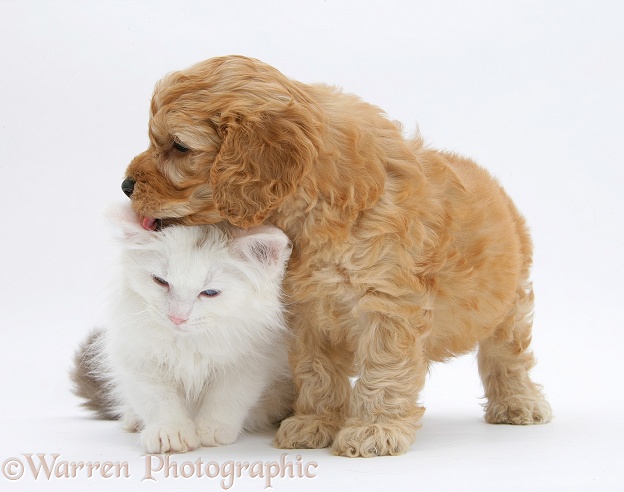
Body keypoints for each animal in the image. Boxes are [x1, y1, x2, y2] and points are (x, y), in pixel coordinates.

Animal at [73, 204, 294, 454]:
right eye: (161, 281)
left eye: (209, 293)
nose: (177, 317)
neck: (188, 344)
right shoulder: (140, 359)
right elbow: (159, 401)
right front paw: (170, 434)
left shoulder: (249, 362)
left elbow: (226, 399)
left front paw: (211, 430)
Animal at [122, 54, 552, 458]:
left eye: (179, 146)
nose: (125, 185)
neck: (317, 207)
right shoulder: (308, 311)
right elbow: (317, 371)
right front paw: (314, 423)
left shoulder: (389, 307)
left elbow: (383, 370)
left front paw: (374, 430)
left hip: (512, 300)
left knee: (507, 353)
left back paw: (518, 403)